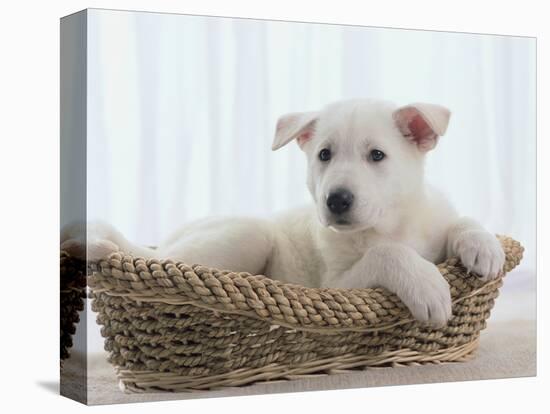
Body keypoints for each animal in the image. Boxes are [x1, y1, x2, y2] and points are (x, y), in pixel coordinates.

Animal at [62, 98, 506, 326]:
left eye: (377, 155)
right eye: (324, 155)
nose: (336, 200)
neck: (392, 224)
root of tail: (166, 239)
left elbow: (458, 221)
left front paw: (484, 246)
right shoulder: (336, 286)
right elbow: (388, 254)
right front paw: (428, 286)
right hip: (245, 234)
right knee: (165, 260)